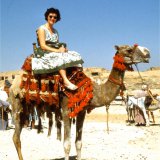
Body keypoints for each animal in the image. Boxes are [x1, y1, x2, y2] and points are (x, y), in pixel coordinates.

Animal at [9, 44, 150, 160]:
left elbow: (79, 143)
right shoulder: (66, 111)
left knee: (17, 134)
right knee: (16, 137)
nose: (147, 52)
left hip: (25, 107)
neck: (92, 90)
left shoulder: (81, 111)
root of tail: (14, 83)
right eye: (129, 49)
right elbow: (66, 144)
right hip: (16, 102)